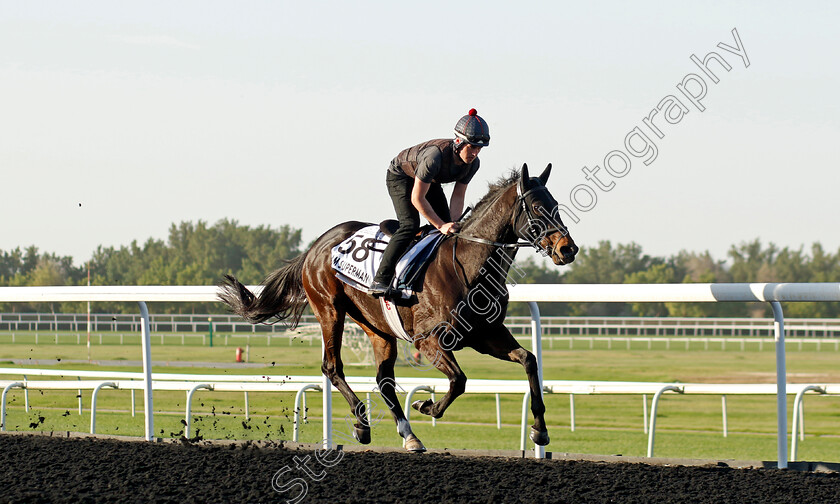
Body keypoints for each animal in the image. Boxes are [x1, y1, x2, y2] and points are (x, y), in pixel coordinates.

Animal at [217, 163, 576, 450]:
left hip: (377, 326)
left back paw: (408, 435)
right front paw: (427, 406)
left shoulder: (485, 334)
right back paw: (363, 422)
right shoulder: (429, 340)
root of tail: (316, 246)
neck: (467, 264)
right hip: (329, 310)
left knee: (383, 379)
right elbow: (459, 380)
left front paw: (540, 431)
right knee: (332, 367)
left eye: (555, 205)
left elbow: (529, 361)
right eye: (536, 206)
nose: (567, 249)